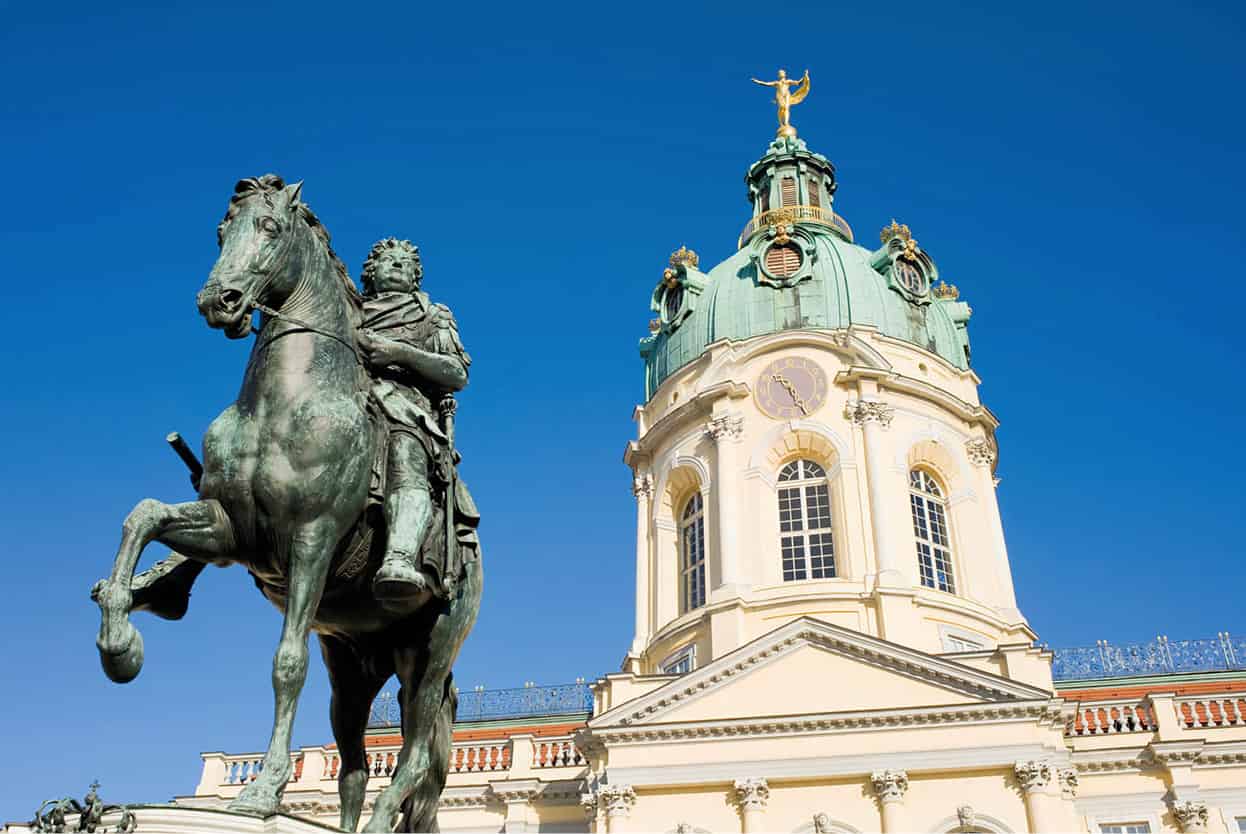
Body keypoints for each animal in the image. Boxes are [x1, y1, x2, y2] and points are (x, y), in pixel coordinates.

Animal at [90, 174, 480, 827]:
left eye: (270, 228)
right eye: (221, 231)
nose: (218, 300)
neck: (284, 403)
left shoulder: (313, 538)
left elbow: (285, 664)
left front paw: (259, 793)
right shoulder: (230, 529)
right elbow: (142, 514)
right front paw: (120, 645)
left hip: (430, 651)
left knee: (418, 751)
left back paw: (380, 818)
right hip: (353, 661)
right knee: (354, 765)